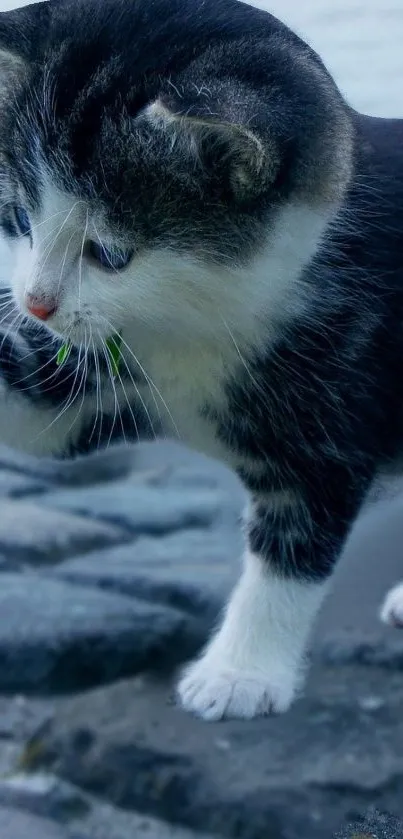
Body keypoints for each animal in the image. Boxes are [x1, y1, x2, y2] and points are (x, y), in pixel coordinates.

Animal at [0, 0, 403, 720]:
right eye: (18, 217)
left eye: (110, 254)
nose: (35, 304)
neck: (198, 325)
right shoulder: (110, 367)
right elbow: (39, 420)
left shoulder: (336, 410)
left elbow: (290, 552)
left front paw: (240, 674)